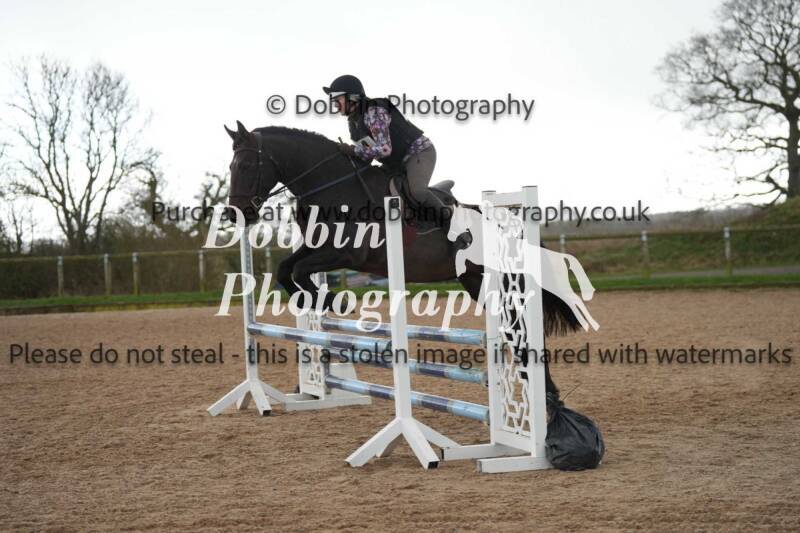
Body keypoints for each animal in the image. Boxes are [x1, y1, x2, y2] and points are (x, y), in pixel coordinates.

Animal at [224, 120, 581, 399]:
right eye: (230, 167)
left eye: (245, 166)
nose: (235, 214)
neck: (331, 186)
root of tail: (514, 222)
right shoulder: (317, 248)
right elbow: (286, 269)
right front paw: (318, 302)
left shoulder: (345, 252)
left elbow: (298, 270)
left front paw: (337, 302)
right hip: (476, 281)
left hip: (502, 280)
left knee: (521, 330)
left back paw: (545, 395)